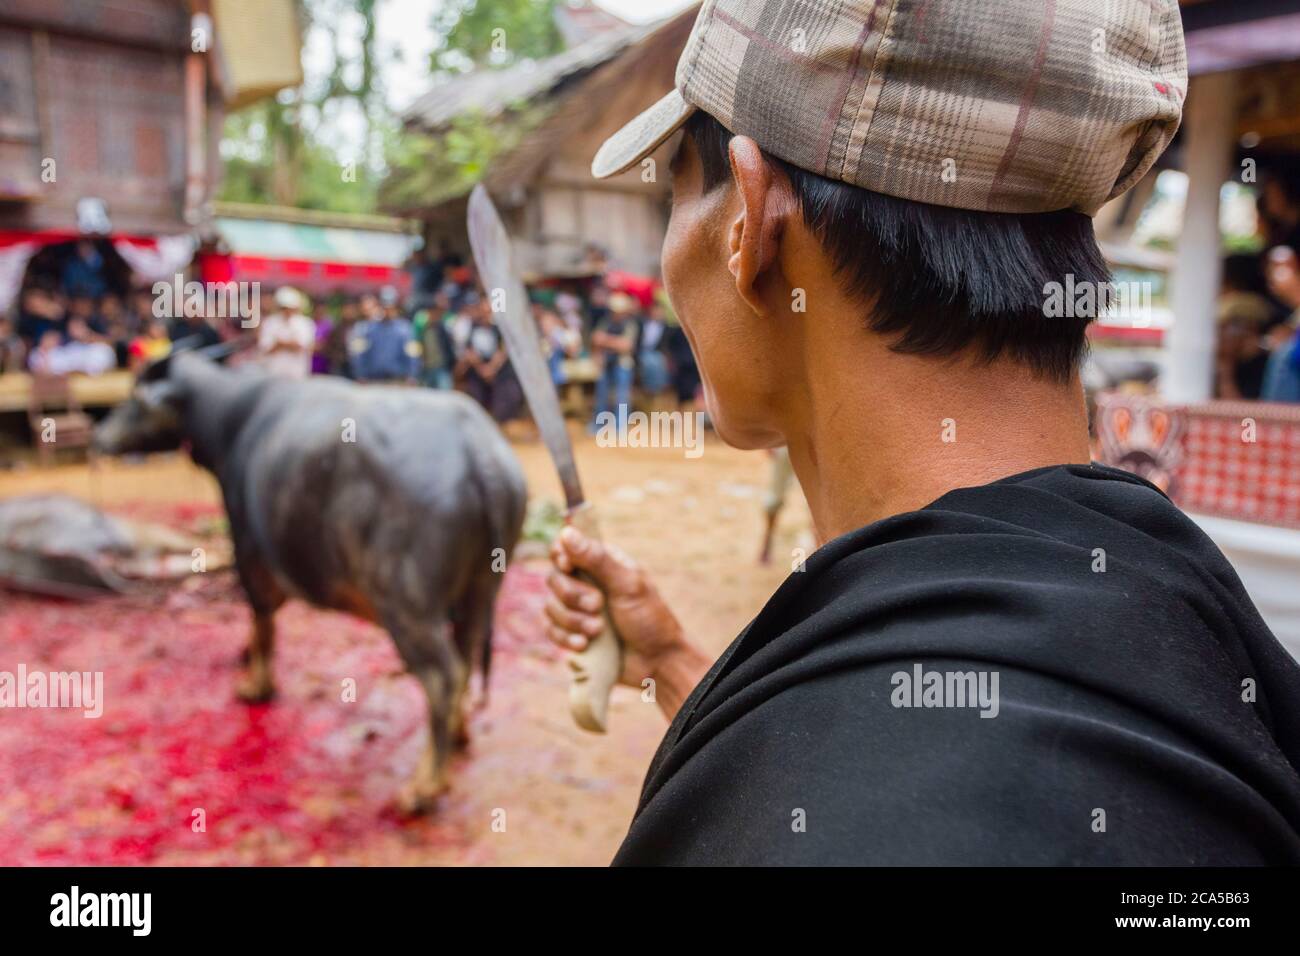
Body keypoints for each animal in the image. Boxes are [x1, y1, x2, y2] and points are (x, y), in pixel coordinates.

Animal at [91, 348, 530, 811]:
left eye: (134, 400)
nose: (99, 436)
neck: (232, 419)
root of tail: (479, 453)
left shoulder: (249, 550)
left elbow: (262, 620)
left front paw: (256, 685)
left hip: (408, 606)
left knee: (442, 677)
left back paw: (422, 788)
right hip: (480, 592)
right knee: (465, 660)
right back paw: (459, 737)